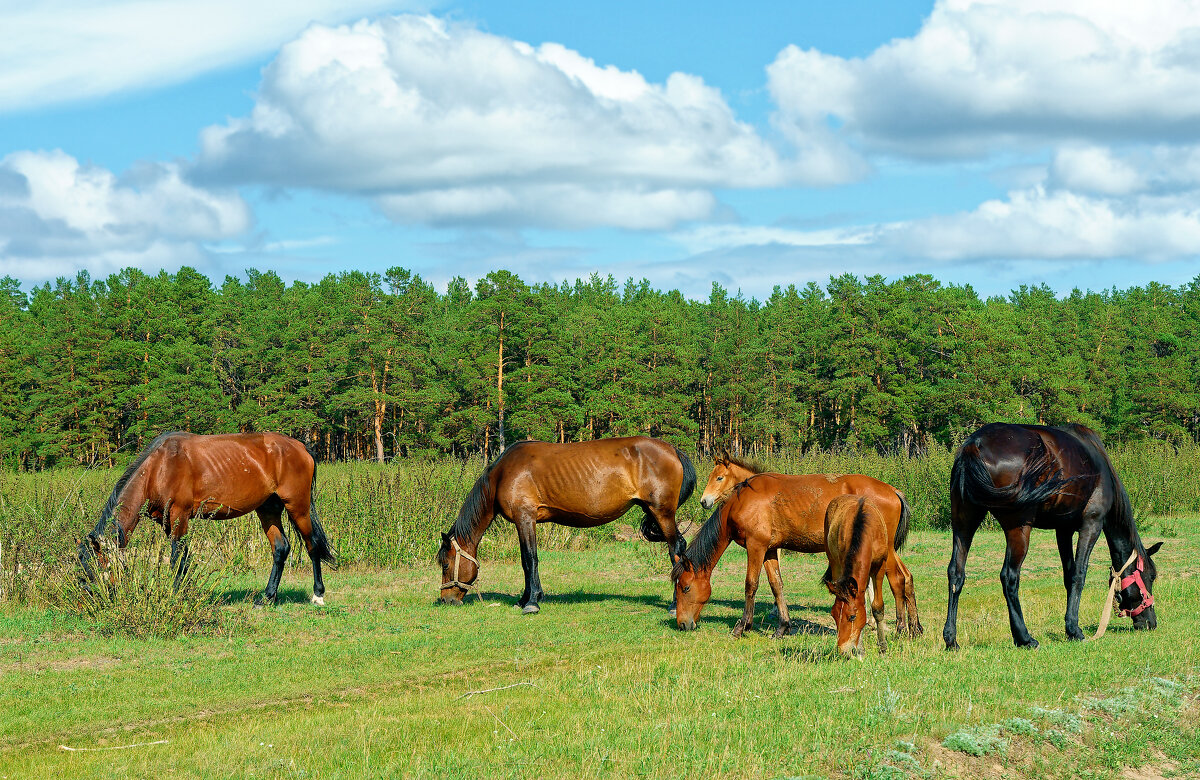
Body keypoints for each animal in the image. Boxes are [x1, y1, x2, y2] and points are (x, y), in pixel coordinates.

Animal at [80, 432, 336, 602]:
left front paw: (177, 595)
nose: (88, 597)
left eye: (93, 566)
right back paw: (267, 598)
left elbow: (177, 558)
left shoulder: (179, 515)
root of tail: (301, 447)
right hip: (268, 509)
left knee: (312, 545)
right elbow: (183, 557)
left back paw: (317, 595)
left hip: (298, 507)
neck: (159, 468)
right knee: (281, 548)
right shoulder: (168, 523)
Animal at [436, 436, 696, 614]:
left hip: (662, 513)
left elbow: (530, 559)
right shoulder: (525, 522)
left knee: (676, 551)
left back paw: (675, 604)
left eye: (446, 564)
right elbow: (526, 561)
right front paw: (525, 599)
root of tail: (673, 450)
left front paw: (532, 602)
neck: (503, 473)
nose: (447, 599)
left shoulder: (525, 518)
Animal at [667, 460, 916, 638]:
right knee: (904, 578)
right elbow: (776, 585)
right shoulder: (768, 550)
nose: (682, 624)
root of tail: (892, 490)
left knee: (896, 579)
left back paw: (900, 629)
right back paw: (913, 628)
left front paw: (742, 626)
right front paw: (782, 627)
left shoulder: (755, 547)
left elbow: (751, 585)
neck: (743, 500)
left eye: (685, 588)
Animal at [820, 492, 897, 657]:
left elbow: (877, 607)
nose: (842, 651)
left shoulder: (879, 567)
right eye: (833, 615)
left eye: (852, 617)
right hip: (834, 561)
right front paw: (860, 649)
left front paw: (883, 647)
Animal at [945, 422, 1161, 648]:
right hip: (1018, 529)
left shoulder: (1063, 530)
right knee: (1009, 576)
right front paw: (1074, 629)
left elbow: (1068, 575)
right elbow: (1079, 574)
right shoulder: (1091, 524)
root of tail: (975, 444)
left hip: (963, 523)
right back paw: (1024, 638)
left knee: (956, 574)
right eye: (1151, 577)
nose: (1150, 623)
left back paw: (951, 639)